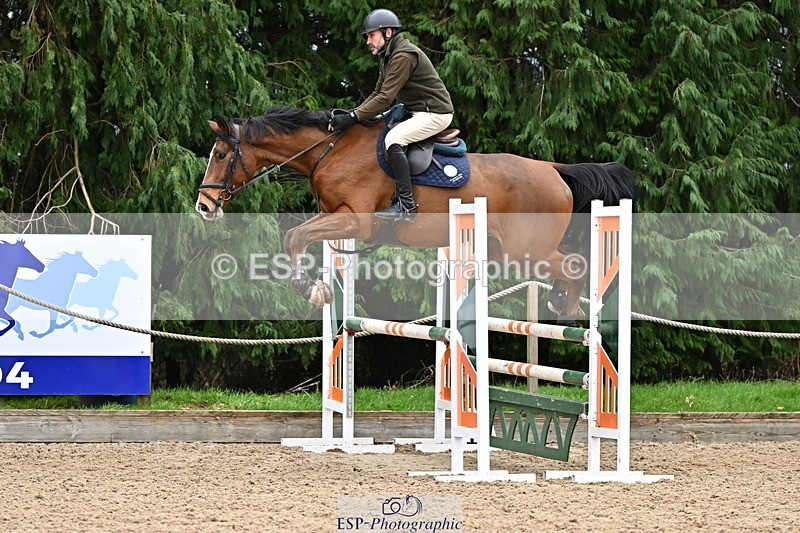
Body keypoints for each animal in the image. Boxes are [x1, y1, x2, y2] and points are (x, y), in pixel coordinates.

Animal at [195, 106, 634, 321]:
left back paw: (569, 307)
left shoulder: (357, 220)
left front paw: (312, 289)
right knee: (571, 265)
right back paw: (562, 302)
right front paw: (320, 288)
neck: (329, 150)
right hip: (510, 250)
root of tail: (555, 170)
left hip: (525, 250)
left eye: (221, 155)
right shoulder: (339, 219)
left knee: (576, 264)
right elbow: (297, 237)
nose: (203, 206)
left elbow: (296, 236)